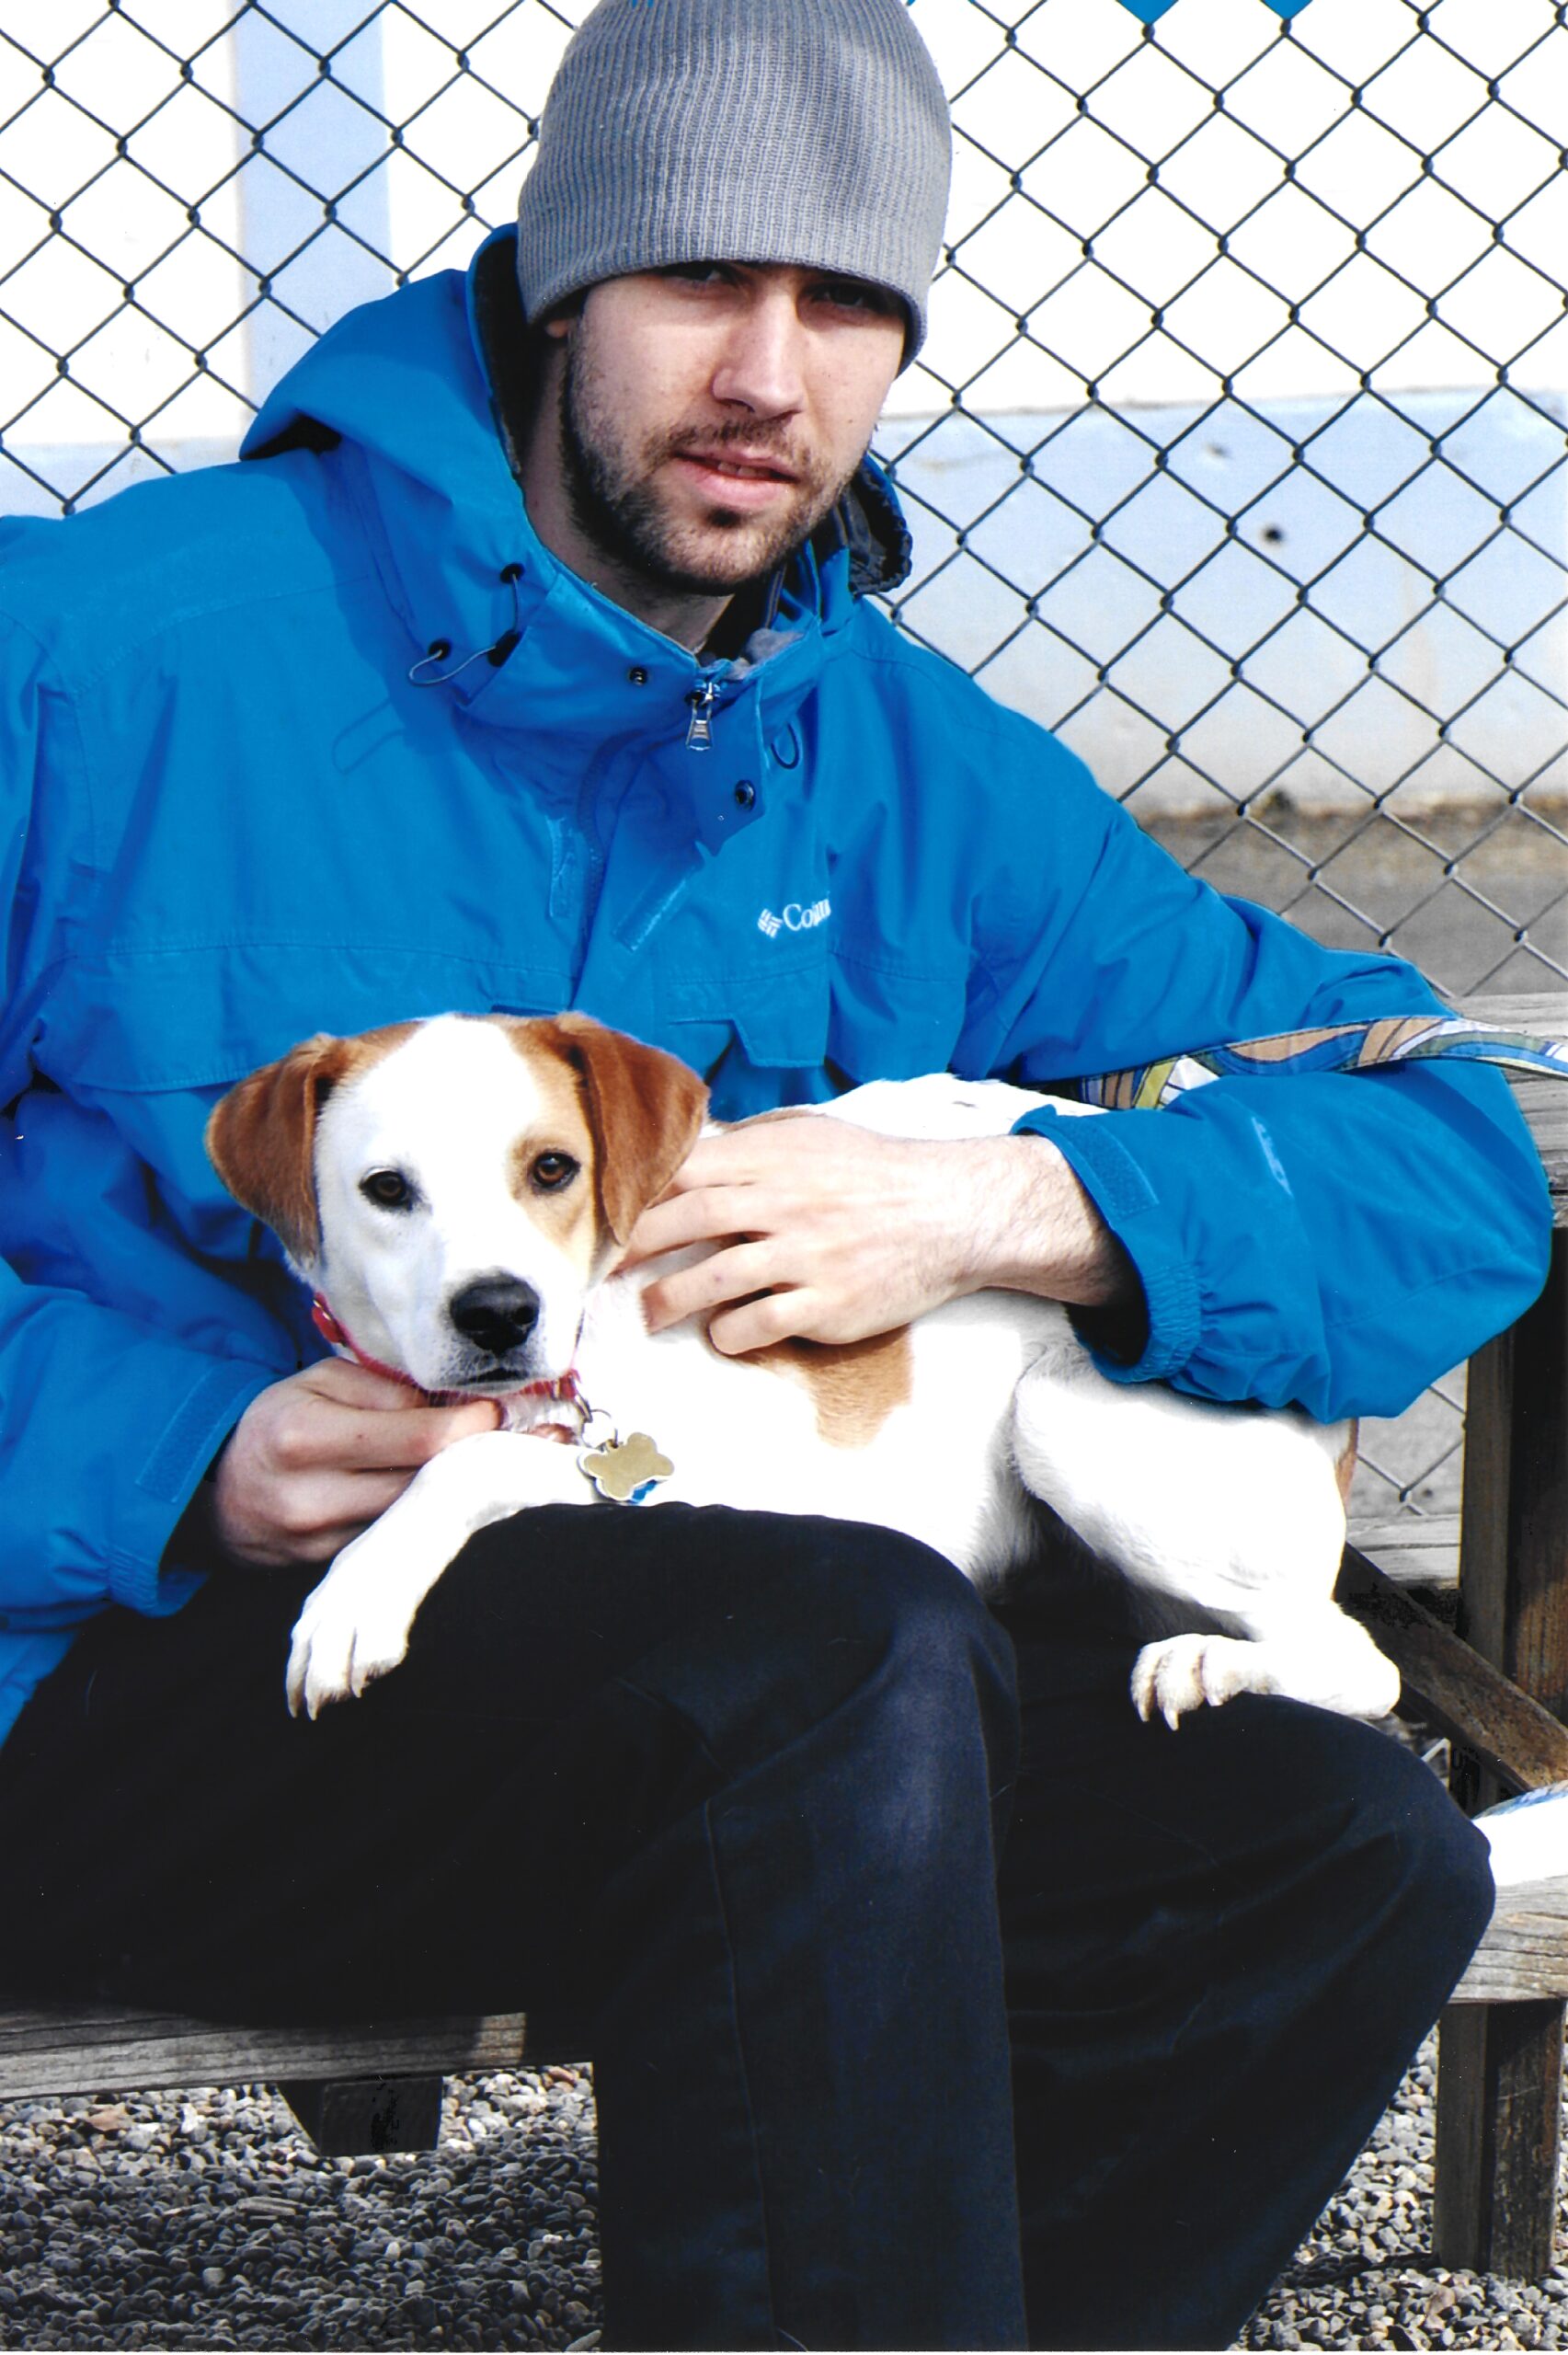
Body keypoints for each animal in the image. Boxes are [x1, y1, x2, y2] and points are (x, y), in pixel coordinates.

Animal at [204, 1012, 1393, 1733]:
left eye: (552, 1169)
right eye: (385, 1189)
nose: (499, 1312)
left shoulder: (708, 1469)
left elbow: (467, 1465)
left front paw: (354, 1594)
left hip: (1064, 1426)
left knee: (1360, 1662)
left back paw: (1215, 1666)